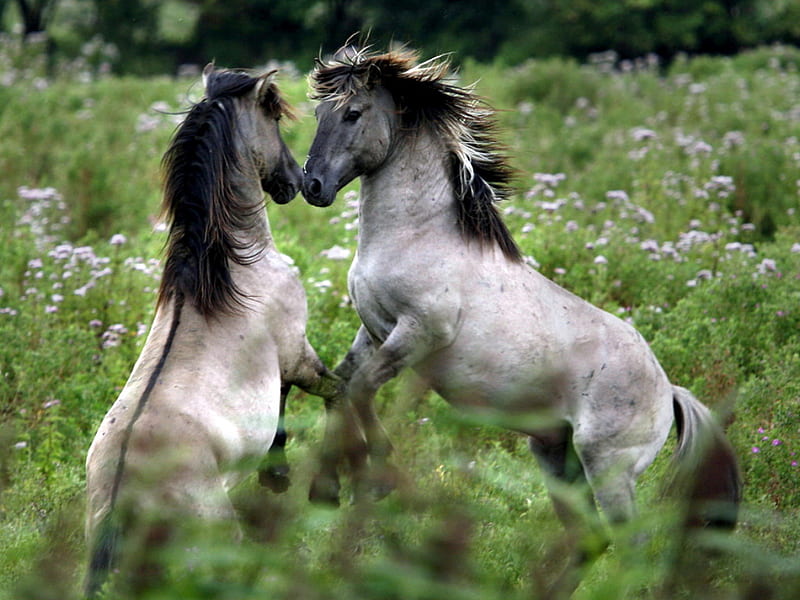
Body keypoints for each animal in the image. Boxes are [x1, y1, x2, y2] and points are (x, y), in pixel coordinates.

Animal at [83, 64, 354, 596]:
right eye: (275, 117)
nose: (296, 180)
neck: (235, 268)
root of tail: (124, 500)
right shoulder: (296, 354)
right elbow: (336, 393)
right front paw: (322, 488)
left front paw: (278, 475)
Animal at [304, 47, 740, 584]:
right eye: (319, 114)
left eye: (353, 113)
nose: (312, 185)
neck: (416, 238)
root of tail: (669, 391)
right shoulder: (374, 330)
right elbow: (339, 388)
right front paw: (326, 487)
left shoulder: (420, 332)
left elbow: (361, 389)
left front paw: (379, 474)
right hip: (555, 457)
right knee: (590, 539)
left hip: (608, 468)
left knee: (631, 545)